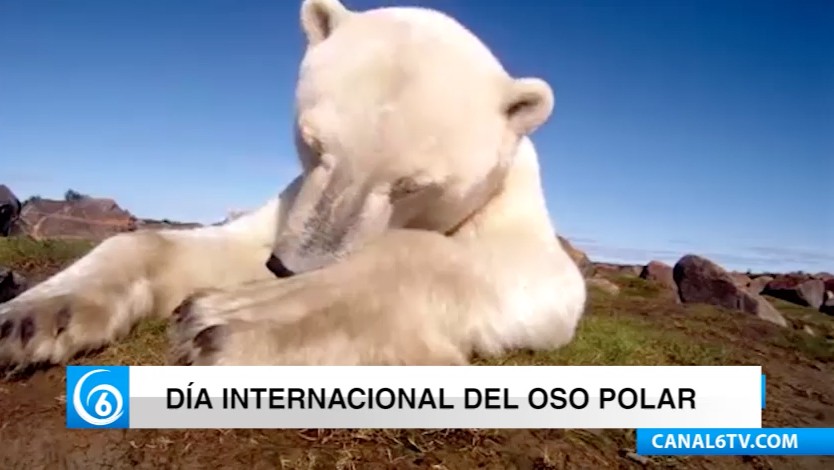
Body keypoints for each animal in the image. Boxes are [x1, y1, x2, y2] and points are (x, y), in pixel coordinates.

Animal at [0, 0, 586, 370]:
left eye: (411, 185)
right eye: (312, 142)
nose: (289, 268)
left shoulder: (517, 219)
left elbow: (521, 273)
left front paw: (223, 316)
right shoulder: (293, 201)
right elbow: (213, 243)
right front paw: (31, 319)